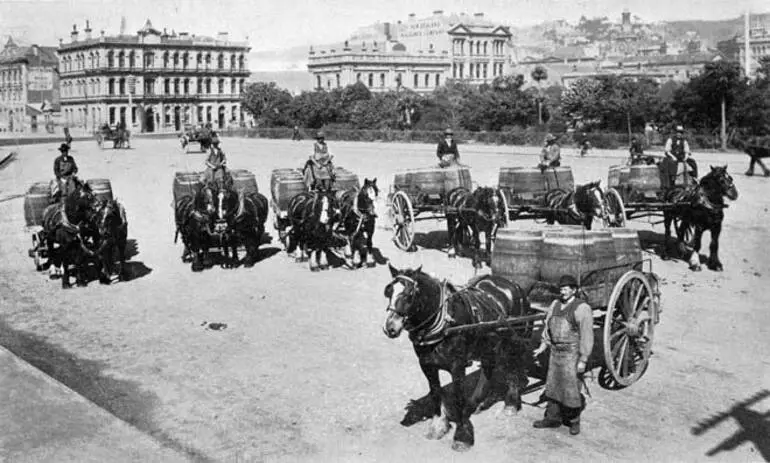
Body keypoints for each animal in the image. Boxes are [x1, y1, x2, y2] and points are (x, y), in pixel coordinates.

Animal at [380, 264, 532, 454]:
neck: (445, 322)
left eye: (409, 294)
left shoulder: (457, 365)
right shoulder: (426, 365)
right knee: (488, 367)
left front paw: (462, 434)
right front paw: (438, 425)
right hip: (487, 342)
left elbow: (458, 397)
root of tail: (514, 285)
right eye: (388, 292)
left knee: (514, 367)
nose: (390, 327)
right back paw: (477, 403)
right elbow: (435, 392)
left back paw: (511, 403)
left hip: (514, 340)